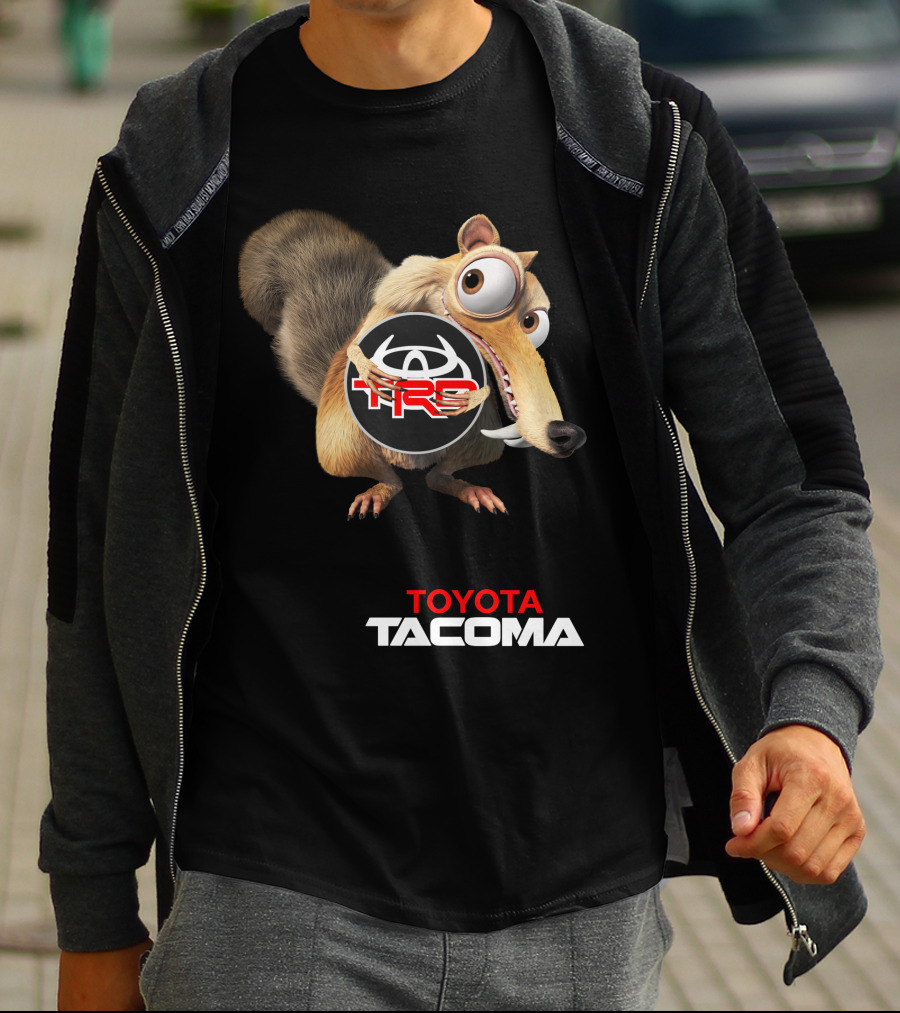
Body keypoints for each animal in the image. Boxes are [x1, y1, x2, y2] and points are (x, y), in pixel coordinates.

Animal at [239, 210, 586, 518]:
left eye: (531, 322)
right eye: (474, 281)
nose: (565, 433)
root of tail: (412, 462)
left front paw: (471, 396)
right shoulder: (391, 305)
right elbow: (356, 344)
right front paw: (368, 369)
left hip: (478, 440)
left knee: (438, 476)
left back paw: (467, 488)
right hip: (343, 444)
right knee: (388, 477)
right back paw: (381, 490)